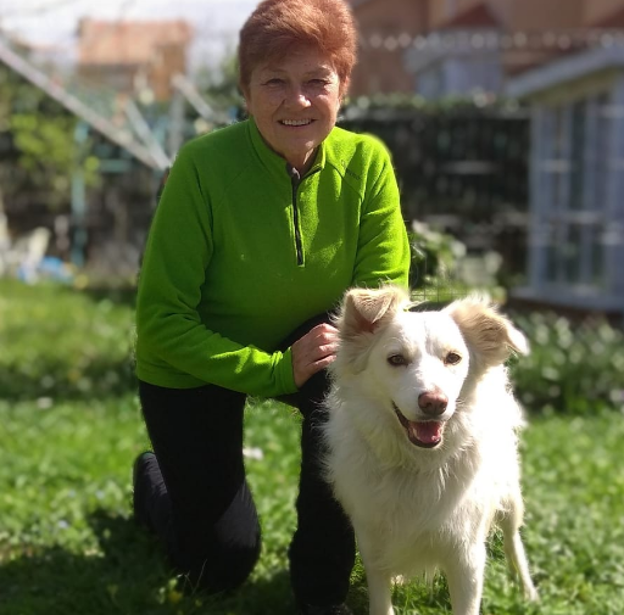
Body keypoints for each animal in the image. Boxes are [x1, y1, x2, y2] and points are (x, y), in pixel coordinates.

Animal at [324, 288, 540, 615]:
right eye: (396, 359)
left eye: (453, 358)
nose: (434, 402)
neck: (417, 463)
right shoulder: (373, 547)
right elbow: (381, 600)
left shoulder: (466, 558)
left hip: (509, 495)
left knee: (514, 540)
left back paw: (528, 593)